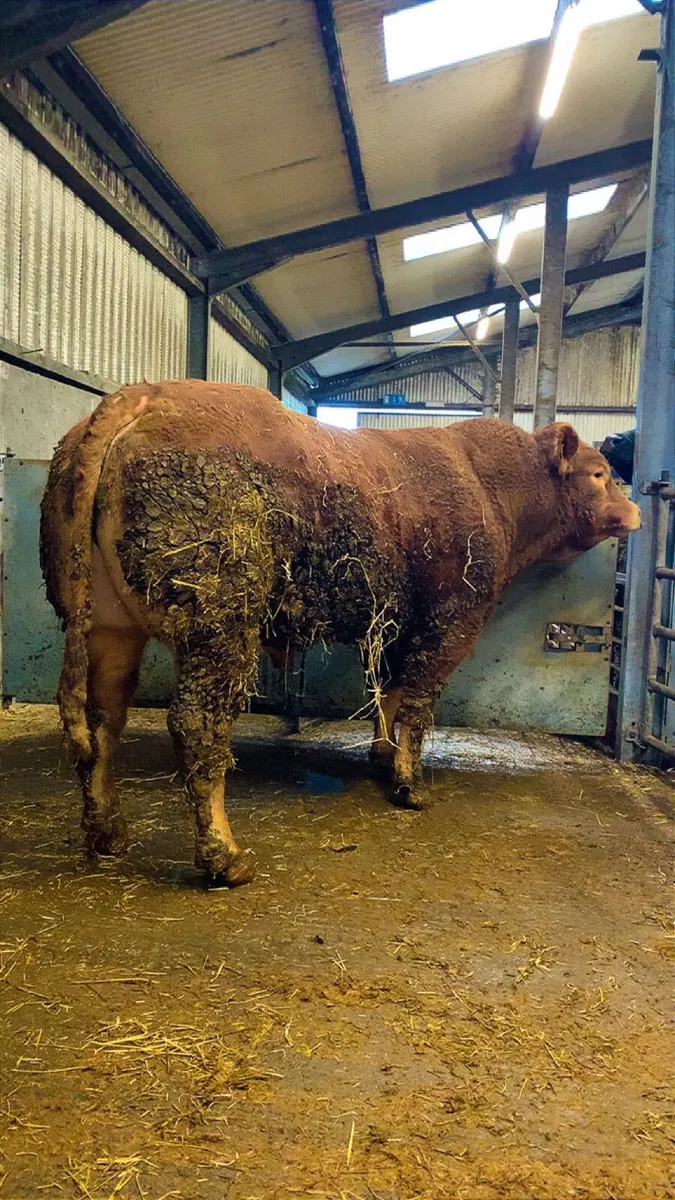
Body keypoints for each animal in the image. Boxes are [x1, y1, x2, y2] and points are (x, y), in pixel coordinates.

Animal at [40, 381, 640, 887]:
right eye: (599, 473)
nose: (635, 509)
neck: (492, 487)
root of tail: (145, 394)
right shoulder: (451, 620)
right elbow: (416, 704)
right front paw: (410, 785)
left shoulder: (397, 621)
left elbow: (389, 694)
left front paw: (381, 757)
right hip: (218, 621)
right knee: (197, 726)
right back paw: (224, 858)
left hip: (108, 624)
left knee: (102, 721)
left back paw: (108, 832)